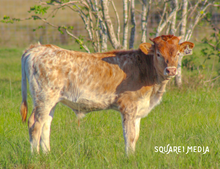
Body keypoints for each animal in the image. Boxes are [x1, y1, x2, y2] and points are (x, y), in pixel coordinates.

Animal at [19, 34, 194, 154]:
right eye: (158, 54)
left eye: (178, 54)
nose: (171, 70)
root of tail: (38, 48)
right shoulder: (128, 107)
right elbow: (129, 135)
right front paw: (129, 158)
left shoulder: (138, 110)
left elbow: (135, 135)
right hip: (44, 98)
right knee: (35, 124)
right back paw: (35, 156)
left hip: (52, 100)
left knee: (46, 125)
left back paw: (46, 154)